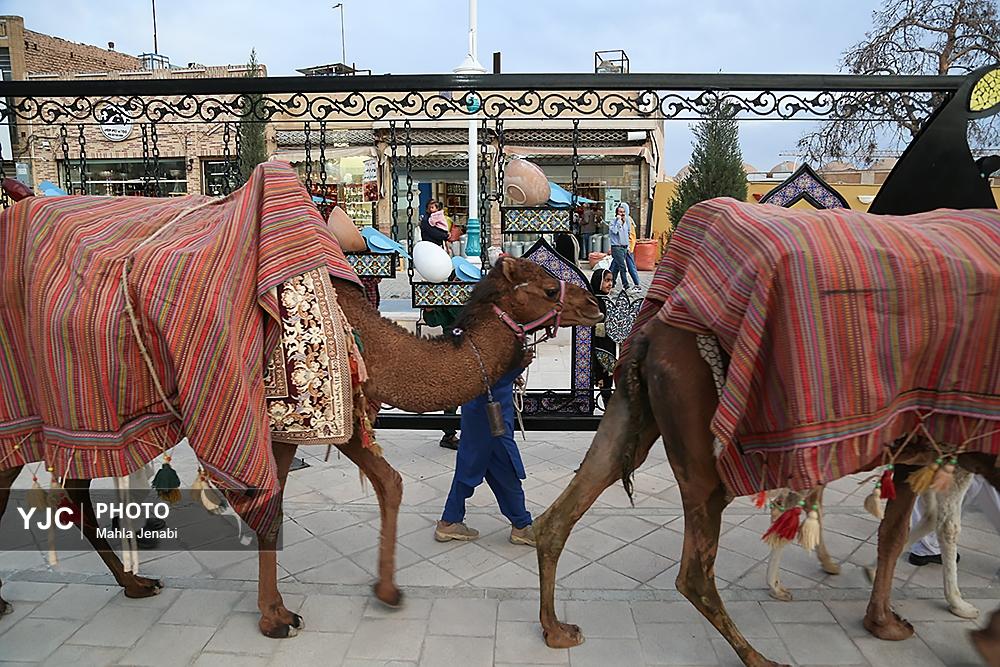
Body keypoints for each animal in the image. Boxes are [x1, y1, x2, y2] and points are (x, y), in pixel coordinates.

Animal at [0, 181, 600, 636]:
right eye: (550, 288)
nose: (595, 302)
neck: (365, 332)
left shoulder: (322, 417)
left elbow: (377, 486)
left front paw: (383, 589)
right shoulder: (294, 414)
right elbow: (275, 506)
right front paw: (275, 618)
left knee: (74, 490)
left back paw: (133, 584)